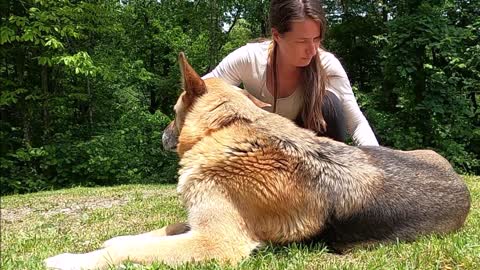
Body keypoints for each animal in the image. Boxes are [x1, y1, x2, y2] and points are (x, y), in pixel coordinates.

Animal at [46, 53, 472, 268]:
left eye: (172, 110)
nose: (162, 136)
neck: (227, 129)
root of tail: (464, 189)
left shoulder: (216, 242)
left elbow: (127, 251)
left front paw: (70, 260)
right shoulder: (198, 222)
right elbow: (151, 233)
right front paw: (108, 241)